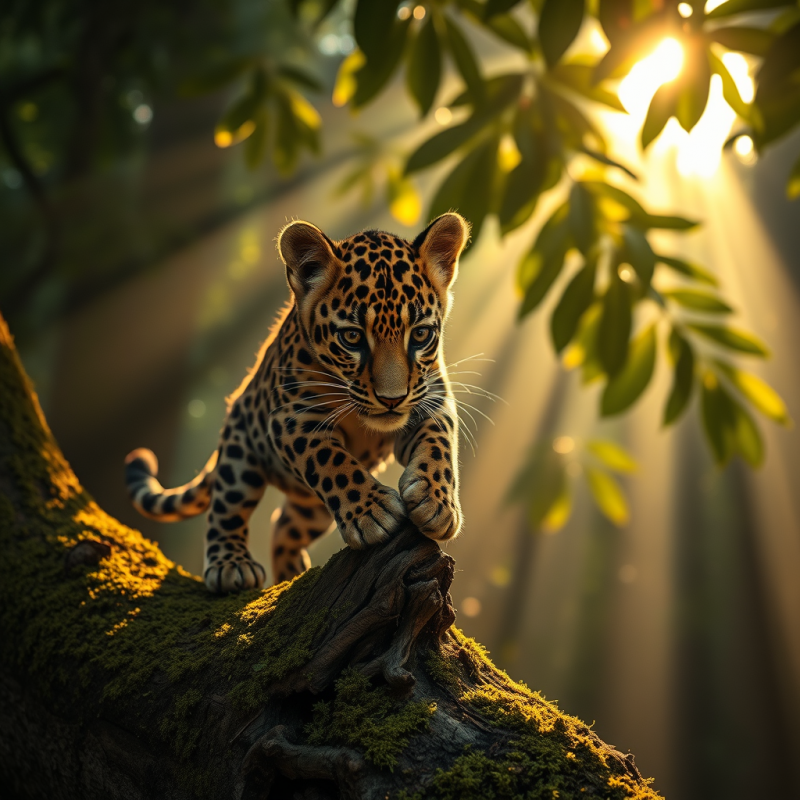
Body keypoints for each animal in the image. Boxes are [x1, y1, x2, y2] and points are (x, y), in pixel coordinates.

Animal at [124, 212, 469, 594]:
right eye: (352, 337)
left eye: (420, 334)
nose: (391, 400)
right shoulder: (293, 418)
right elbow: (331, 461)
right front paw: (372, 512)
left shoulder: (431, 400)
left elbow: (439, 445)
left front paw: (436, 503)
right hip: (240, 453)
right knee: (227, 506)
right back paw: (230, 565)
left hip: (311, 510)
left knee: (283, 524)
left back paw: (291, 571)